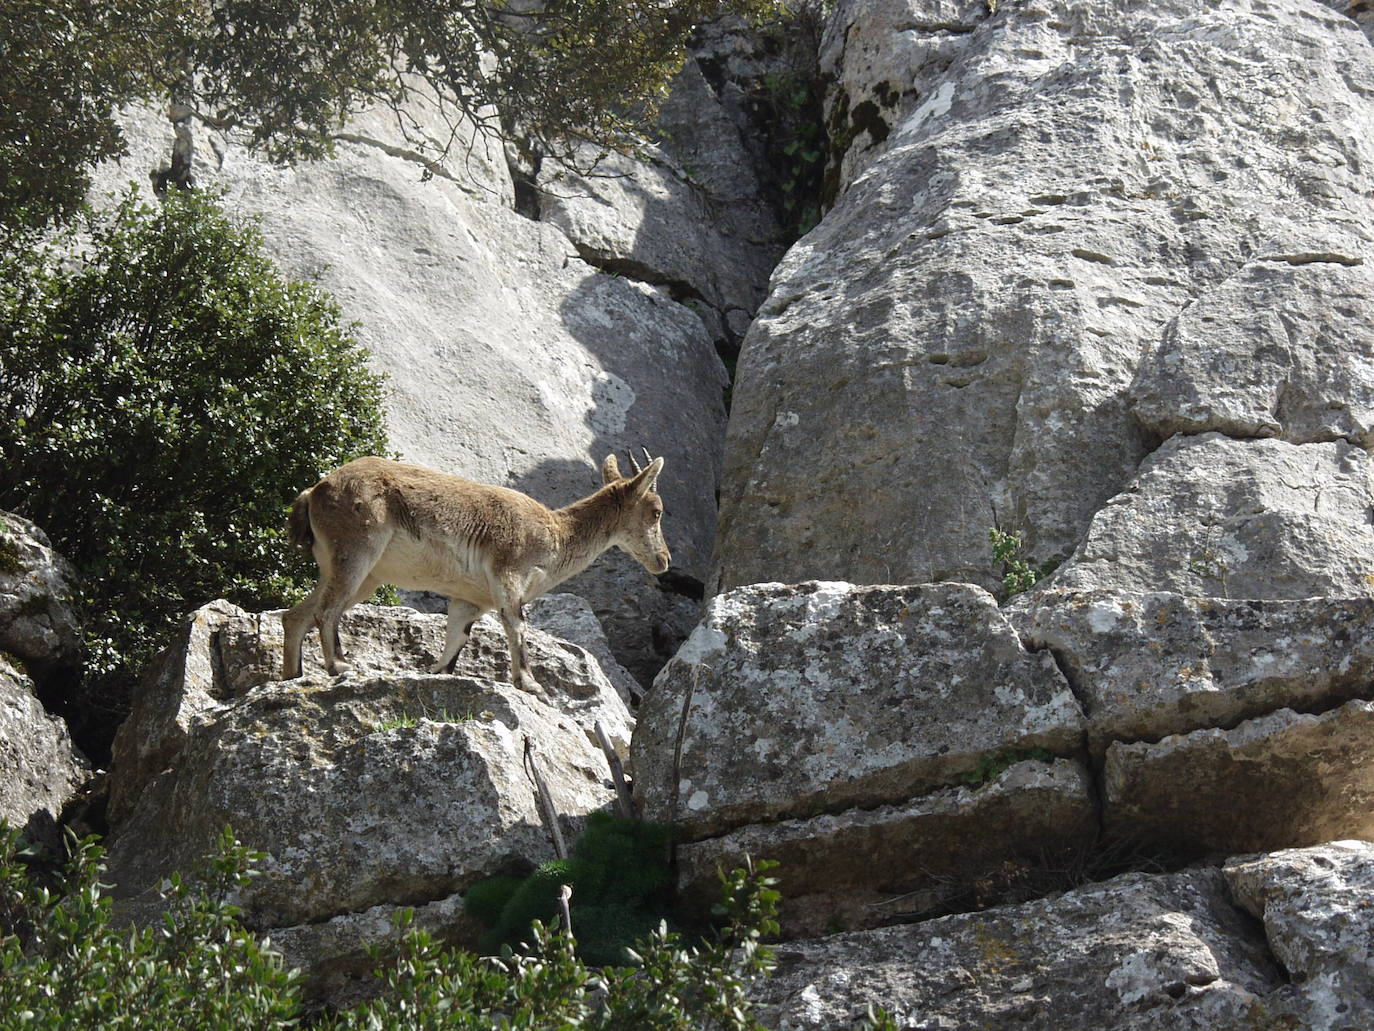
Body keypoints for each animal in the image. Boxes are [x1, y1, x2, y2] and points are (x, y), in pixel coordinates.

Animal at [281, 453, 667, 690]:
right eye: (657, 511)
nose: (663, 560)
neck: (556, 534)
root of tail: (314, 492)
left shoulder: (471, 600)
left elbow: (456, 639)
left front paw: (436, 673)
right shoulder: (508, 573)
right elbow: (516, 625)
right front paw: (529, 683)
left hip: (358, 574)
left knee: (295, 615)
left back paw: (291, 677)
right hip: (357, 552)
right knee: (325, 611)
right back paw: (339, 666)